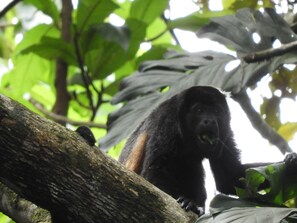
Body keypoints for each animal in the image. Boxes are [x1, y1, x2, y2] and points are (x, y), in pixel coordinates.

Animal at [118, 85, 296, 214]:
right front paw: (187, 202)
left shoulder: (225, 131)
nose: (209, 121)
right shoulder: (167, 120)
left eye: (216, 111)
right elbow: (156, 171)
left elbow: (230, 177)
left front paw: (291, 162)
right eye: (199, 110)